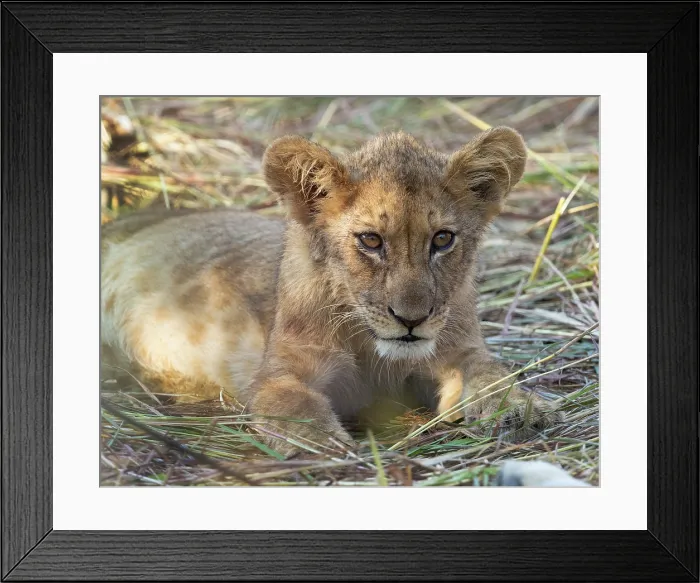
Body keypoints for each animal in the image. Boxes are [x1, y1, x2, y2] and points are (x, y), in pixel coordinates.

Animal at [101, 128, 562, 455]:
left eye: (443, 239)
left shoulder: (458, 349)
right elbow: (296, 407)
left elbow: (491, 372)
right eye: (371, 241)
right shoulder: (279, 372)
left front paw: (516, 408)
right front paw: (324, 444)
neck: (372, 350)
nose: (411, 320)